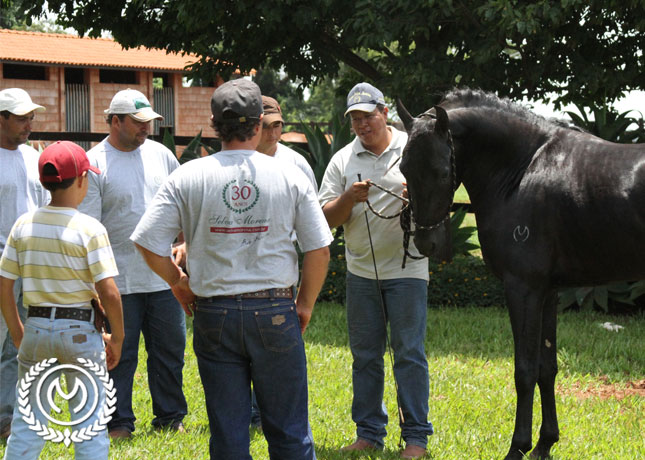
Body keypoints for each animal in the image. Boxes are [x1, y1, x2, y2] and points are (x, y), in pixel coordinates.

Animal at [398, 90, 644, 460]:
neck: (524, 169)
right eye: (402, 168)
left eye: (442, 172)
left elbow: (524, 370)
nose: (428, 242)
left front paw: (518, 447)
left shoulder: (523, 289)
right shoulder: (549, 292)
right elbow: (547, 367)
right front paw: (545, 443)